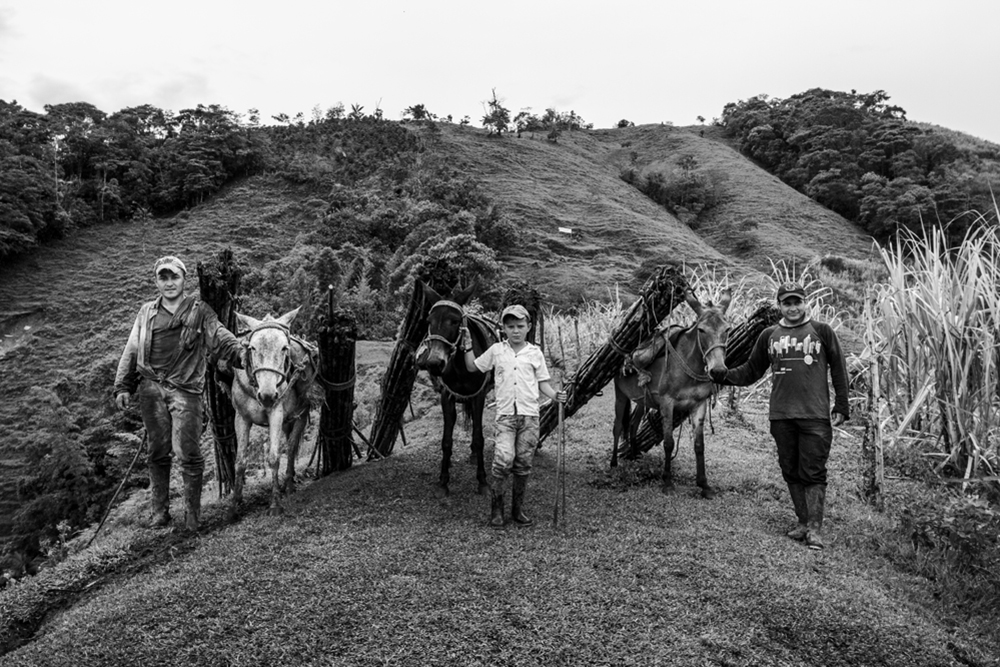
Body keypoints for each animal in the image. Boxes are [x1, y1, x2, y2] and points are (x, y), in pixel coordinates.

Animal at [412, 280, 498, 496]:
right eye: (429, 320)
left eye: (456, 321)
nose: (434, 363)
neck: (461, 366)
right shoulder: (446, 396)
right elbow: (446, 440)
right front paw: (443, 481)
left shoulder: (478, 396)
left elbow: (479, 437)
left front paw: (482, 481)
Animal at [608, 290, 736, 498]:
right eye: (701, 330)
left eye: (728, 330)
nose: (718, 371)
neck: (689, 364)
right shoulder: (667, 404)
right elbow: (668, 443)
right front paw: (667, 482)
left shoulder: (699, 405)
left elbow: (699, 446)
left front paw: (704, 484)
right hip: (620, 395)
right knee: (618, 427)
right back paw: (613, 463)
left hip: (642, 400)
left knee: (633, 424)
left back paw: (635, 456)